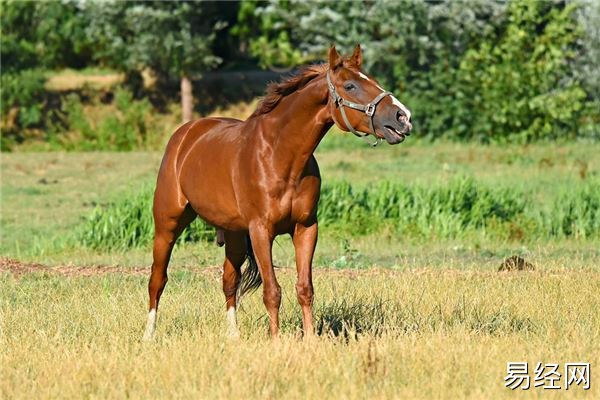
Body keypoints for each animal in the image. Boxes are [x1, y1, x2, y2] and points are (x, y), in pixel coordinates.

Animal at [143, 45, 412, 340]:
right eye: (350, 85)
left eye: (373, 80)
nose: (403, 117)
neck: (280, 155)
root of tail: (185, 134)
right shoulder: (262, 230)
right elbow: (272, 291)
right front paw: (276, 341)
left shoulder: (305, 228)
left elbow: (304, 288)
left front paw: (311, 340)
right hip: (168, 224)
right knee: (158, 279)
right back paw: (148, 336)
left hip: (234, 235)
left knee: (229, 281)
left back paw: (233, 337)